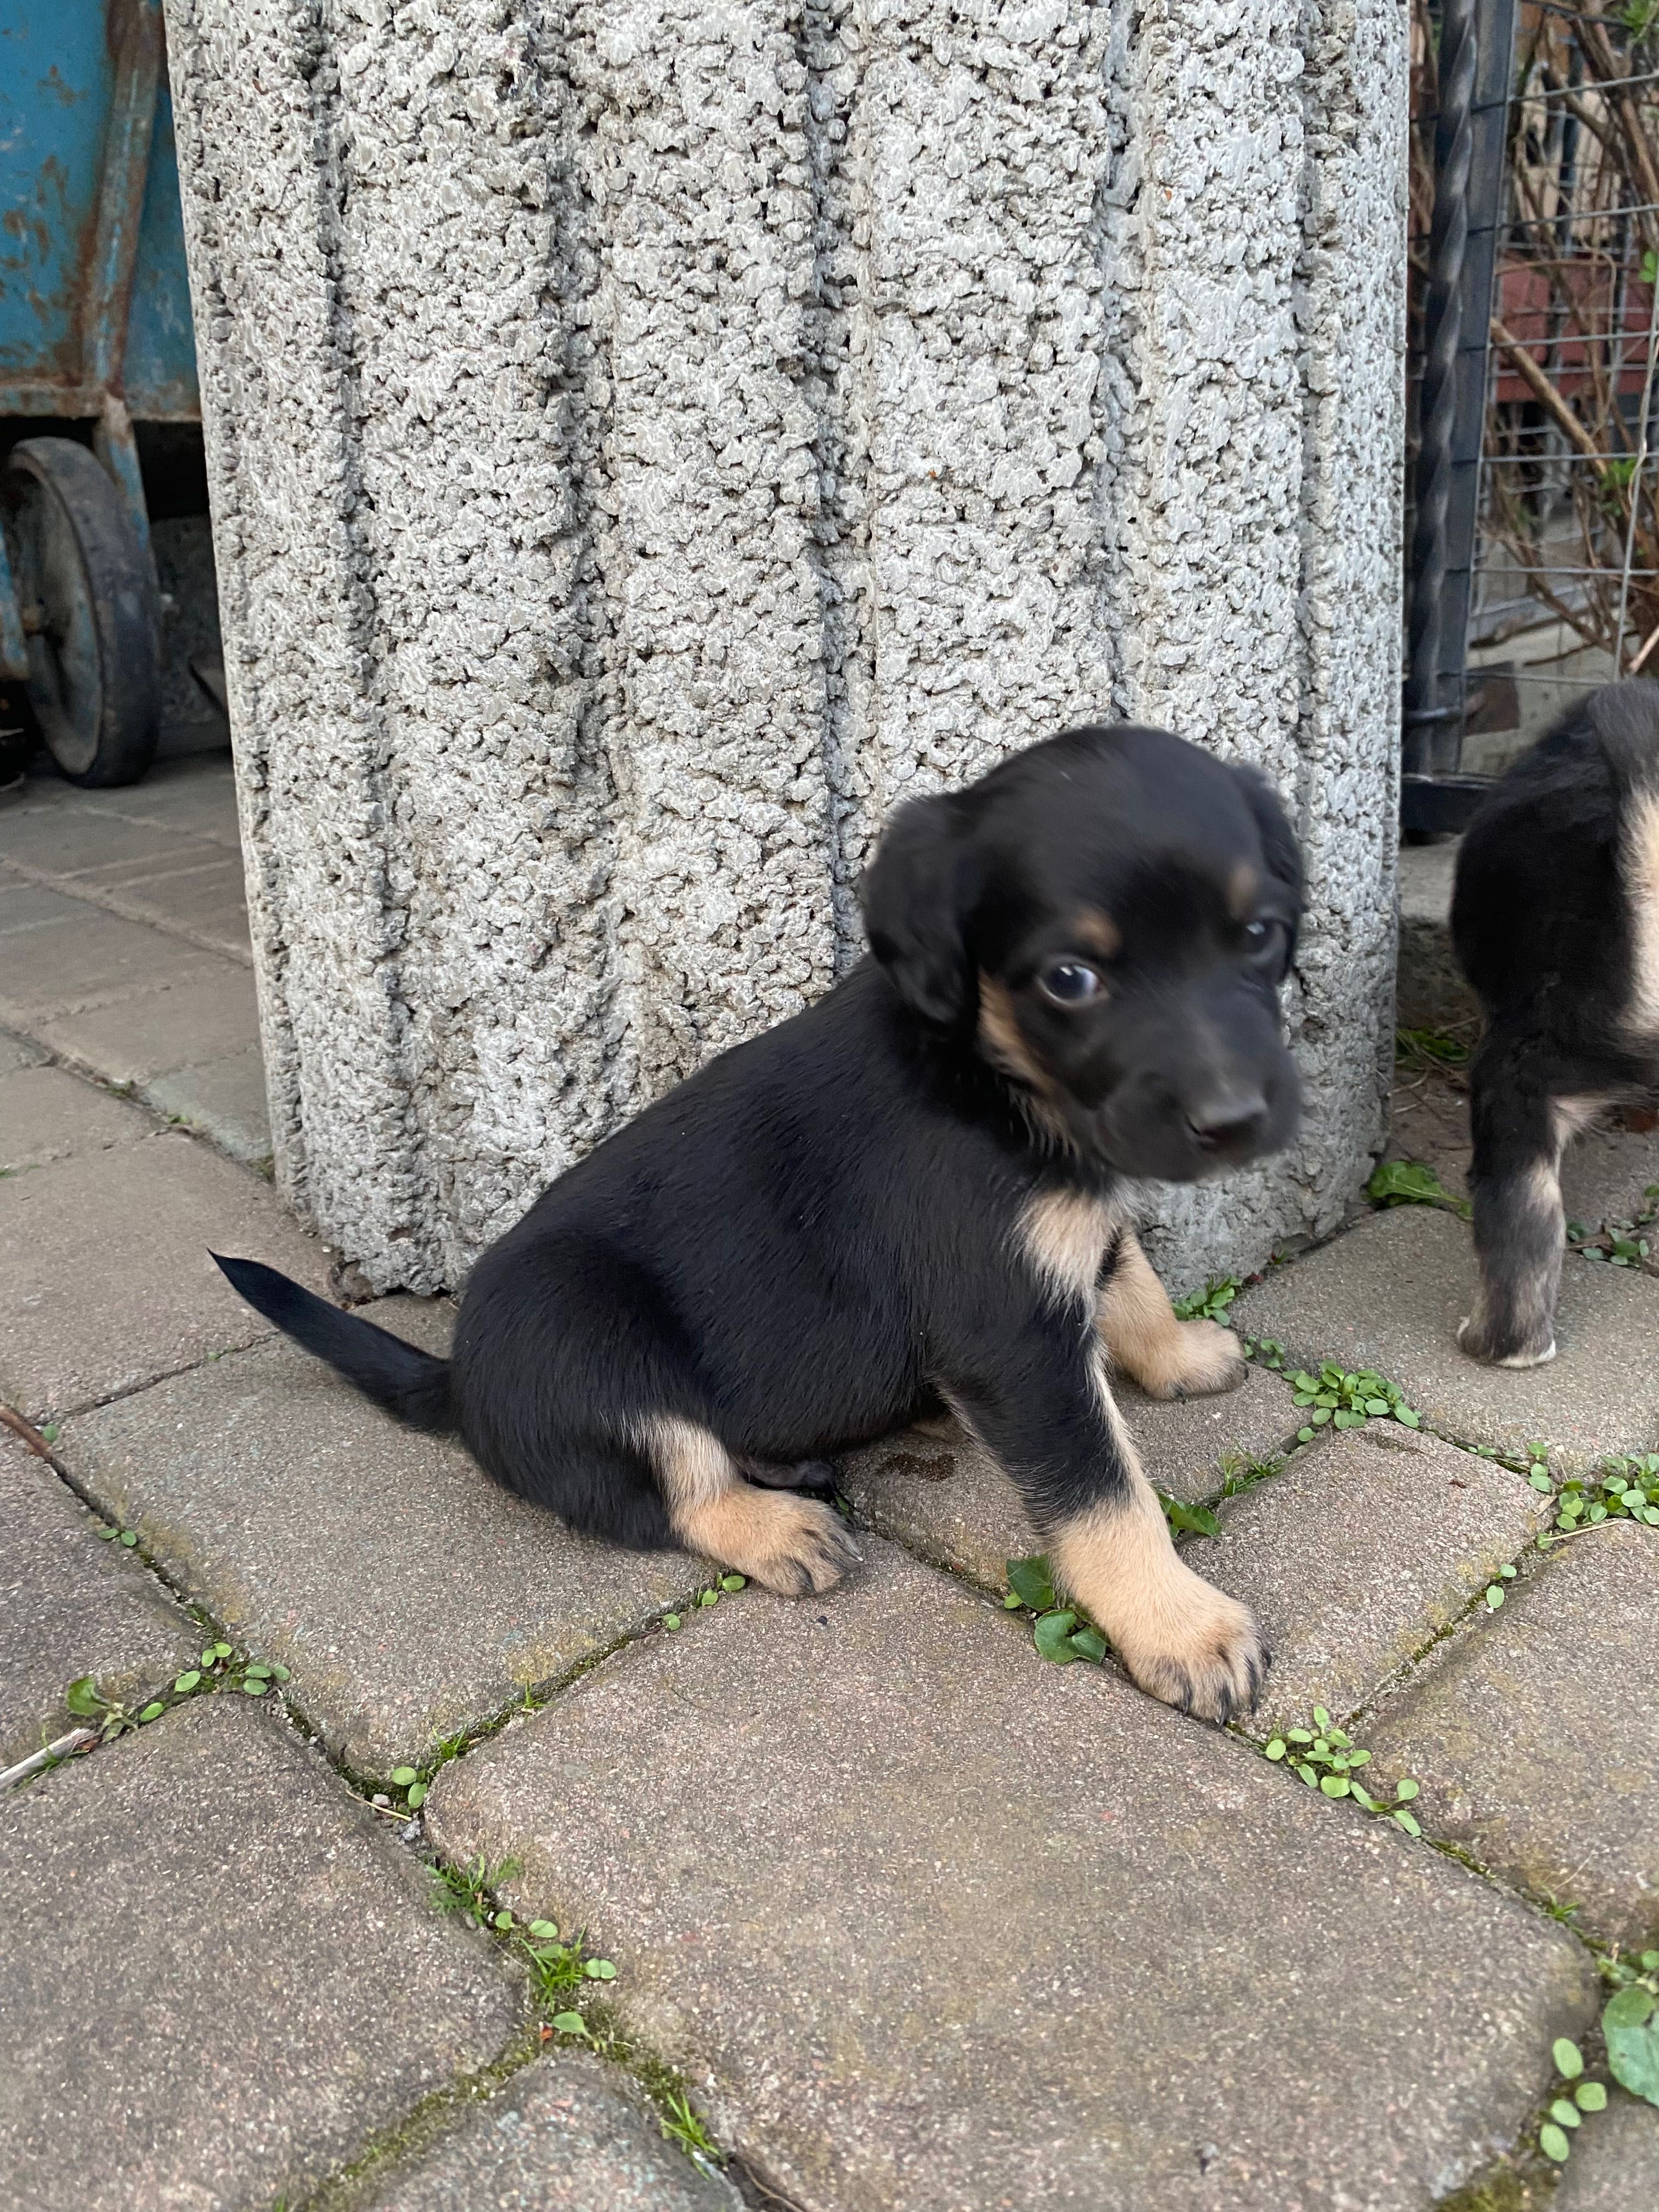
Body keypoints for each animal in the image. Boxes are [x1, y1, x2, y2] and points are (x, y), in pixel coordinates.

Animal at [221, 716, 1309, 1716]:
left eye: (1257, 935)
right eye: (1070, 978)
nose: (1233, 1121)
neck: (987, 1071)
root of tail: (457, 1380)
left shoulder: (1074, 1236)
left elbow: (1133, 1281)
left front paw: (1178, 1356)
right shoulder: (1014, 1338)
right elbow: (1105, 1491)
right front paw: (1179, 1625)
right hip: (584, 1333)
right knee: (673, 1486)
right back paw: (778, 1526)